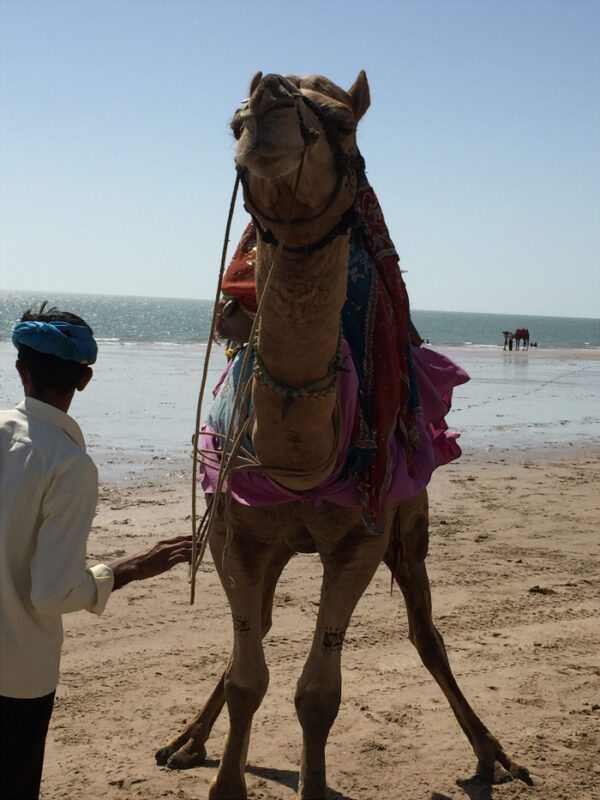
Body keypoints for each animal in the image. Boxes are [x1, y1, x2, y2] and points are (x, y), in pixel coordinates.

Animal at [156, 72, 528, 796]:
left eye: (342, 122)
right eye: (234, 120)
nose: (267, 107)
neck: (298, 457)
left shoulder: (361, 540)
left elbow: (317, 695)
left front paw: (314, 781)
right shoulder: (237, 537)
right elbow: (247, 678)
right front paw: (224, 777)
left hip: (410, 526)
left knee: (426, 631)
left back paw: (491, 755)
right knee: (261, 631)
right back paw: (186, 741)